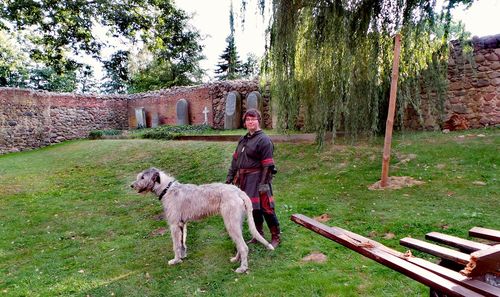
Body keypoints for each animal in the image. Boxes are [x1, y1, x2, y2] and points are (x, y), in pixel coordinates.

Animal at [131, 166, 274, 272]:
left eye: (142, 177)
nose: (131, 186)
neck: (167, 189)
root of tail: (239, 191)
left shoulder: (174, 225)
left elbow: (176, 244)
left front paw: (176, 260)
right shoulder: (182, 224)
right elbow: (182, 242)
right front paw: (183, 257)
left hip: (231, 222)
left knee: (243, 246)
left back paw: (243, 268)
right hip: (235, 222)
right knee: (240, 243)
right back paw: (236, 259)